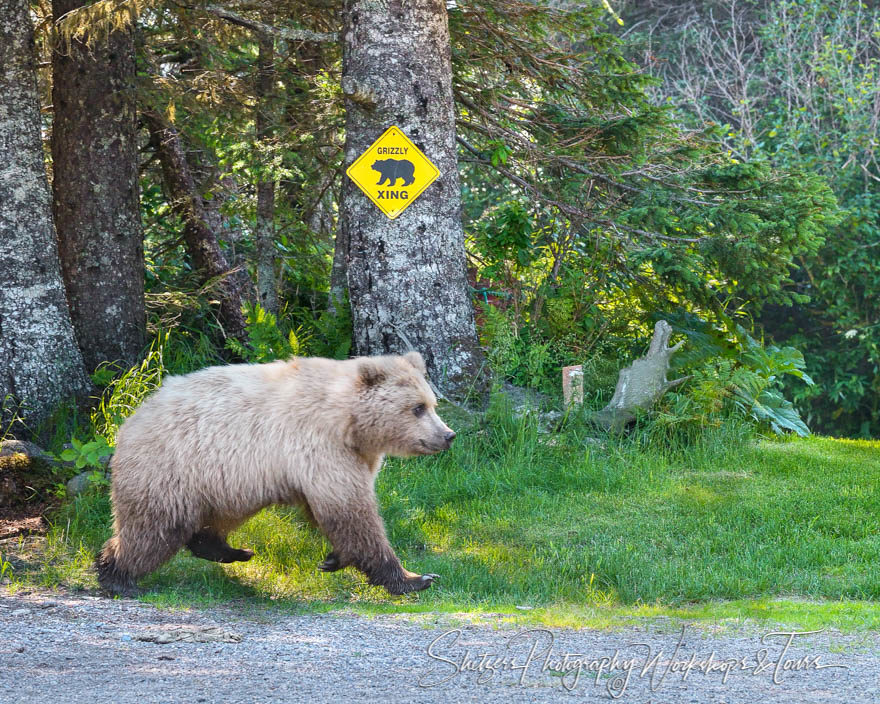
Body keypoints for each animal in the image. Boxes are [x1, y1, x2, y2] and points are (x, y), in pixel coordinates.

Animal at [95, 350, 454, 592]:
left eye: (432, 403)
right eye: (417, 407)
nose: (447, 435)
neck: (351, 424)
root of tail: (128, 421)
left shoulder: (346, 457)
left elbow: (332, 511)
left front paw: (334, 558)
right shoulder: (320, 447)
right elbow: (353, 513)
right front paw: (415, 578)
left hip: (223, 482)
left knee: (217, 517)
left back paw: (231, 549)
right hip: (172, 470)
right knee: (152, 528)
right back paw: (116, 575)